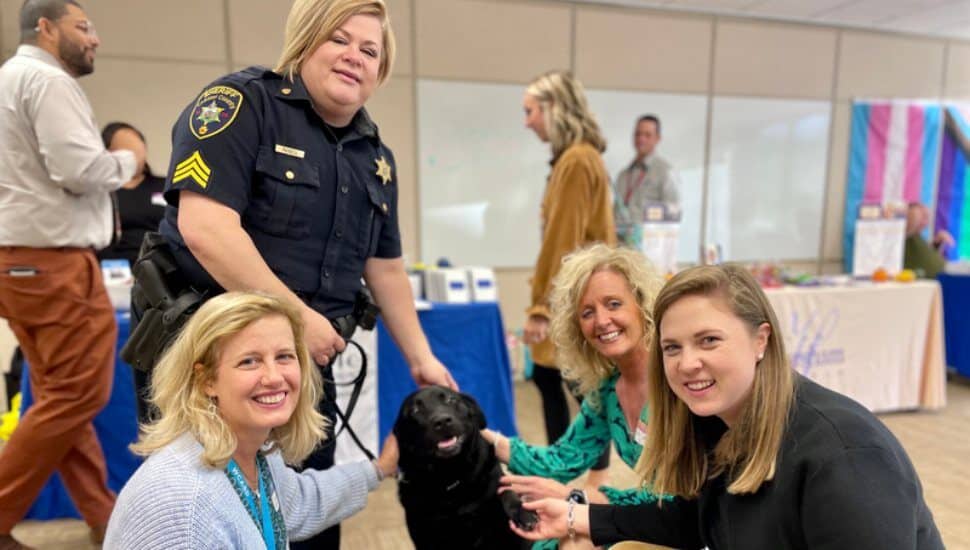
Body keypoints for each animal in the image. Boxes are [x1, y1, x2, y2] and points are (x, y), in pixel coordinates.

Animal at [394, 388, 536, 550]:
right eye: (415, 410)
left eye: (450, 399)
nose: (442, 421)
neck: (451, 477)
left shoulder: (495, 479)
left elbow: (506, 491)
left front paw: (522, 512)